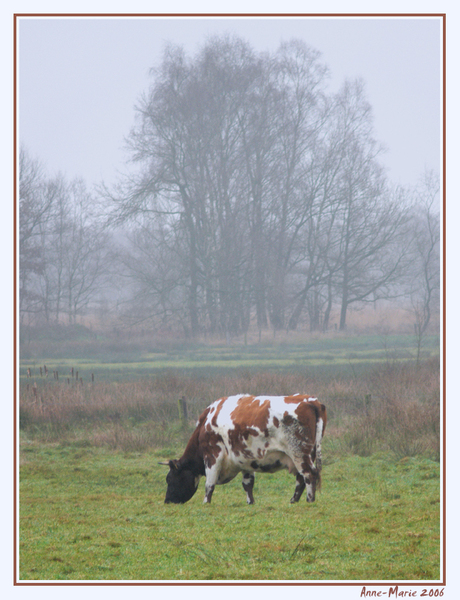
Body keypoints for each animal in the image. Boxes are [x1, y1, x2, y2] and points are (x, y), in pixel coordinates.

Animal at [162, 394, 328, 506]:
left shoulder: (212, 455)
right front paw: (250, 502)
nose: (167, 501)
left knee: (309, 475)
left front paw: (206, 503)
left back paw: (309, 500)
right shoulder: (246, 459)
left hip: (299, 453)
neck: (205, 424)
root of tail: (310, 400)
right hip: (308, 454)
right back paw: (293, 500)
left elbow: (209, 484)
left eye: (169, 479)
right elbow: (248, 484)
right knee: (301, 478)